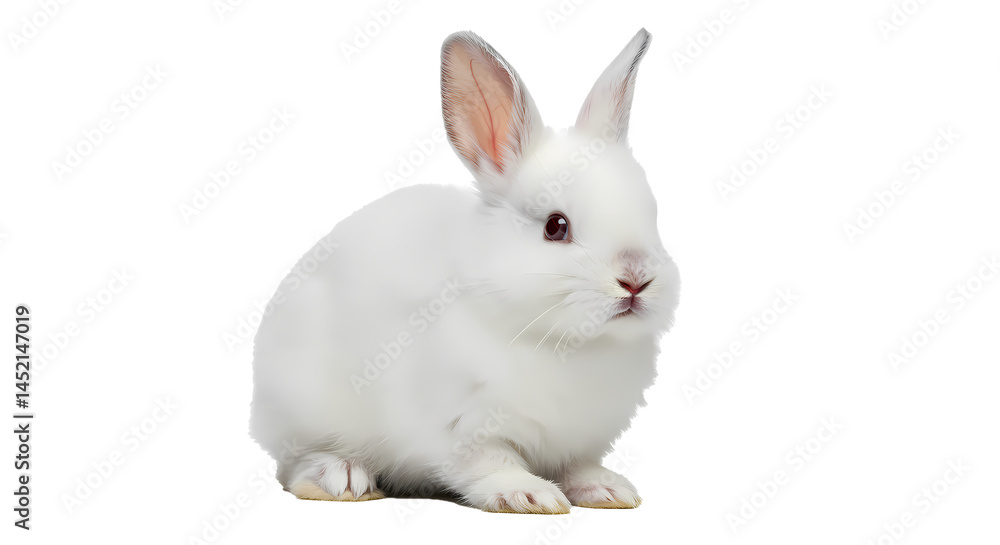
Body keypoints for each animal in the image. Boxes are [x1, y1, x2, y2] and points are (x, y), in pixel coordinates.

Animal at [249, 27, 680, 514]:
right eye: (556, 226)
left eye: (652, 213)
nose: (636, 280)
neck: (564, 342)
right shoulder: (460, 427)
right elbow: (487, 463)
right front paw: (526, 494)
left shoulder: (580, 439)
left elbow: (578, 466)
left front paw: (607, 489)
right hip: (300, 403)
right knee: (295, 463)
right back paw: (342, 478)